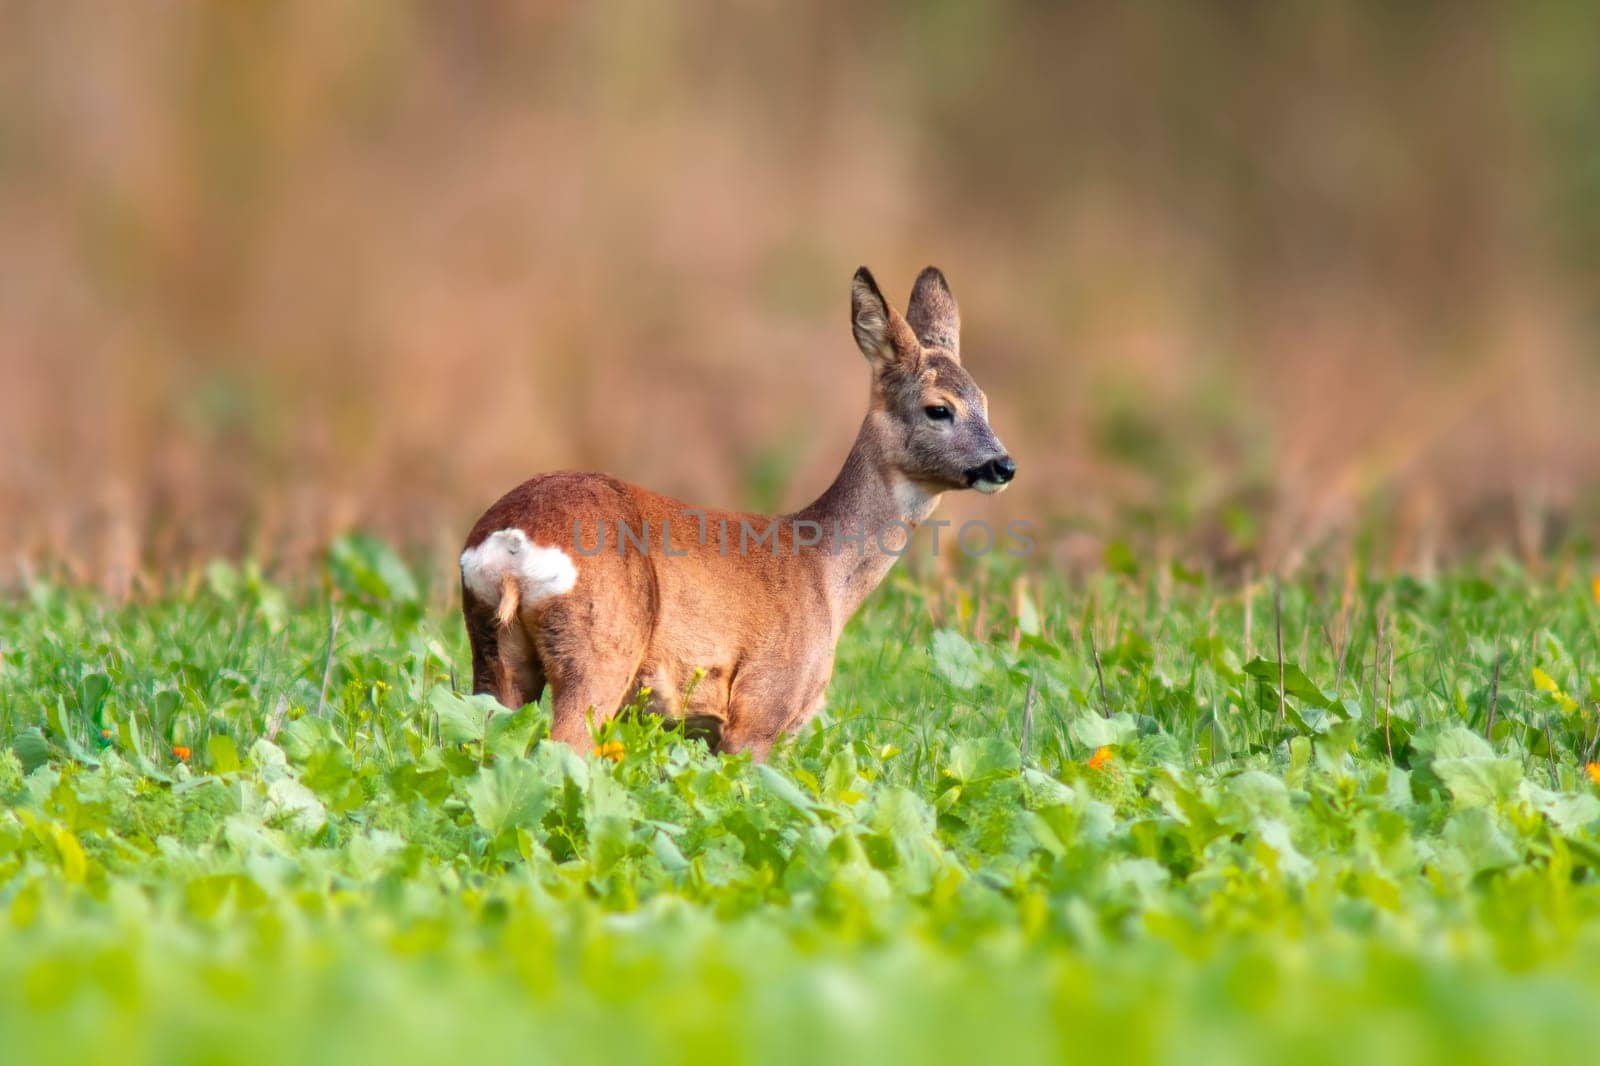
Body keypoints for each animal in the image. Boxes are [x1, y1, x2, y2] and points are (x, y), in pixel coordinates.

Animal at [460, 270, 1011, 758]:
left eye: (985, 401)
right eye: (939, 408)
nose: (1003, 465)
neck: (823, 571)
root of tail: (512, 543)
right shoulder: (762, 708)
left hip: (493, 652)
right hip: (600, 648)